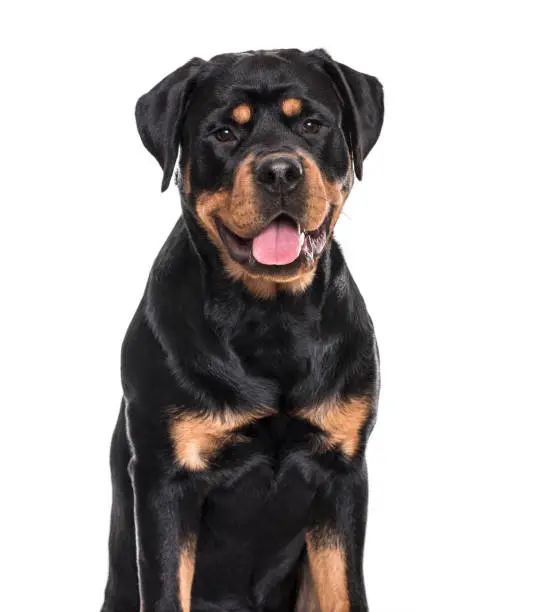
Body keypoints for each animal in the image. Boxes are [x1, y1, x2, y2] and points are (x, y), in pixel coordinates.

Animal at [101, 49, 382, 612]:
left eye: (312, 124)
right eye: (225, 133)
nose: (280, 170)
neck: (270, 317)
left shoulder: (343, 472)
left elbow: (345, 591)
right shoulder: (164, 477)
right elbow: (166, 590)